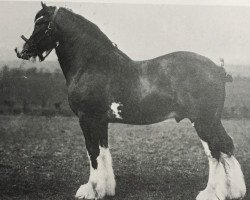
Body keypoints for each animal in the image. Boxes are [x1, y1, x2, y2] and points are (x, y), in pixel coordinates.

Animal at [15, 2, 246, 199]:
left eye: (41, 23)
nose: (23, 51)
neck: (92, 64)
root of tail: (218, 70)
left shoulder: (86, 119)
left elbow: (92, 153)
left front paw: (90, 190)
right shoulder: (100, 121)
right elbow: (103, 152)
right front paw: (105, 189)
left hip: (203, 121)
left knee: (214, 151)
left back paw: (210, 193)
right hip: (212, 120)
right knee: (225, 147)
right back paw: (233, 192)